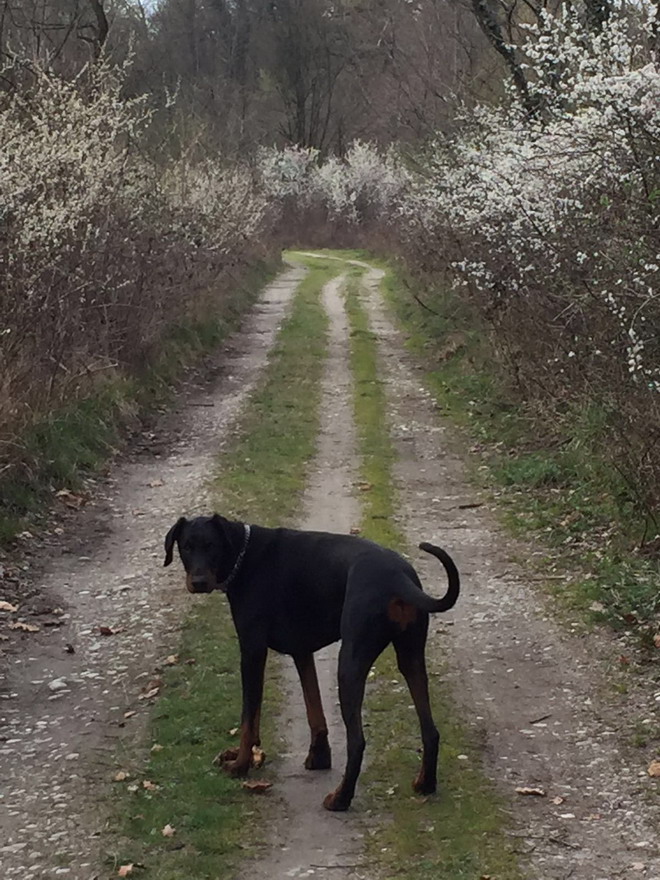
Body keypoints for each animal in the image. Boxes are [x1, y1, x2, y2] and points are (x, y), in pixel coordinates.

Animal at [164, 513, 460, 811]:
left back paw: (340, 798)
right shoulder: (302, 651)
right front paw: (318, 756)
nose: (198, 582)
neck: (243, 555)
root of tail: (398, 579)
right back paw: (425, 783)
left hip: (349, 664)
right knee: (430, 730)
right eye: (186, 546)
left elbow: (248, 716)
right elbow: (312, 707)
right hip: (411, 657)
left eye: (211, 545)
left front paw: (240, 764)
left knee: (357, 741)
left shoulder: (251, 650)